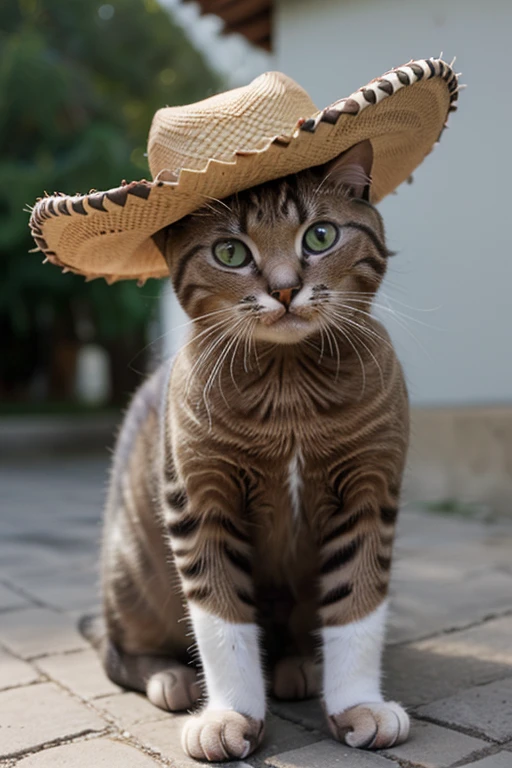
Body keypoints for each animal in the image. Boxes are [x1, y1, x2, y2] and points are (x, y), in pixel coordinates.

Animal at [95, 140, 408, 760]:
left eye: (320, 236)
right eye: (230, 251)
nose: (284, 288)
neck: (289, 388)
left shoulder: (370, 489)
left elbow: (358, 602)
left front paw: (357, 703)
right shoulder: (199, 500)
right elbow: (220, 618)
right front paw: (230, 714)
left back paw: (299, 664)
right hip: (135, 574)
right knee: (117, 651)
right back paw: (172, 677)